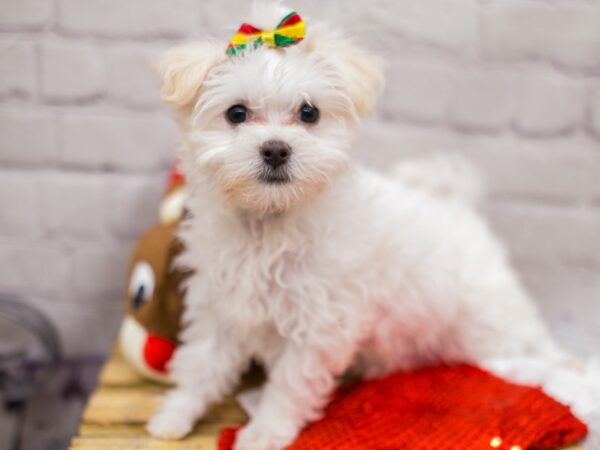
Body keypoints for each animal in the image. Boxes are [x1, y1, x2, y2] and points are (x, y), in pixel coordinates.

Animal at [148, 3, 596, 450]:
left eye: (309, 112)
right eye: (236, 113)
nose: (275, 149)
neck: (268, 222)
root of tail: (456, 206)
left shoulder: (318, 324)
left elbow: (289, 385)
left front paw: (264, 433)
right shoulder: (220, 305)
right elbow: (202, 363)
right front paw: (173, 416)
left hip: (490, 321)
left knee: (532, 346)